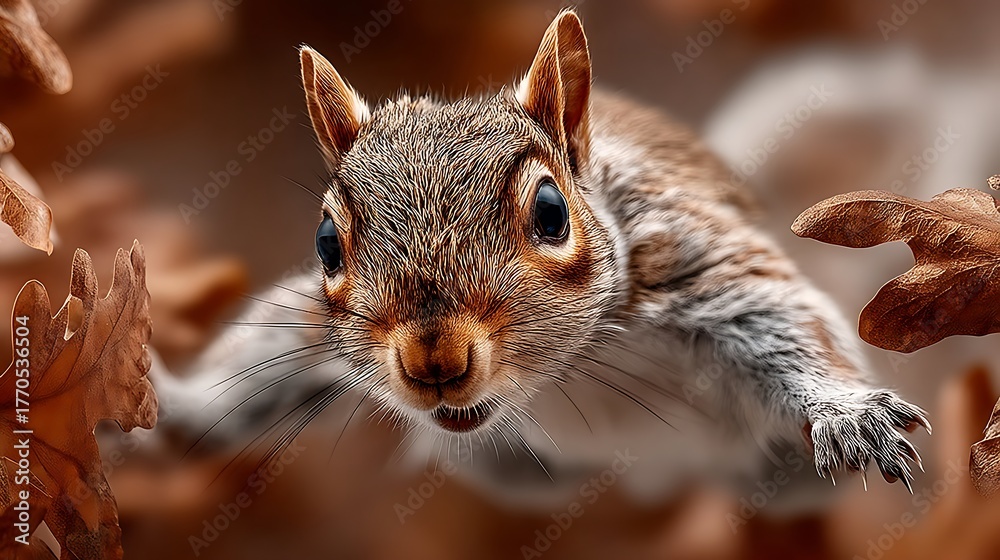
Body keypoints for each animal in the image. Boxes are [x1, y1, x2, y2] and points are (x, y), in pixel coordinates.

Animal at [156, 10, 929, 496]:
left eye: (552, 213)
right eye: (326, 244)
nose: (433, 361)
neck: (569, 369)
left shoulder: (688, 260)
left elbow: (784, 318)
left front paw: (849, 414)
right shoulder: (312, 325)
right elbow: (250, 365)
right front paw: (169, 411)